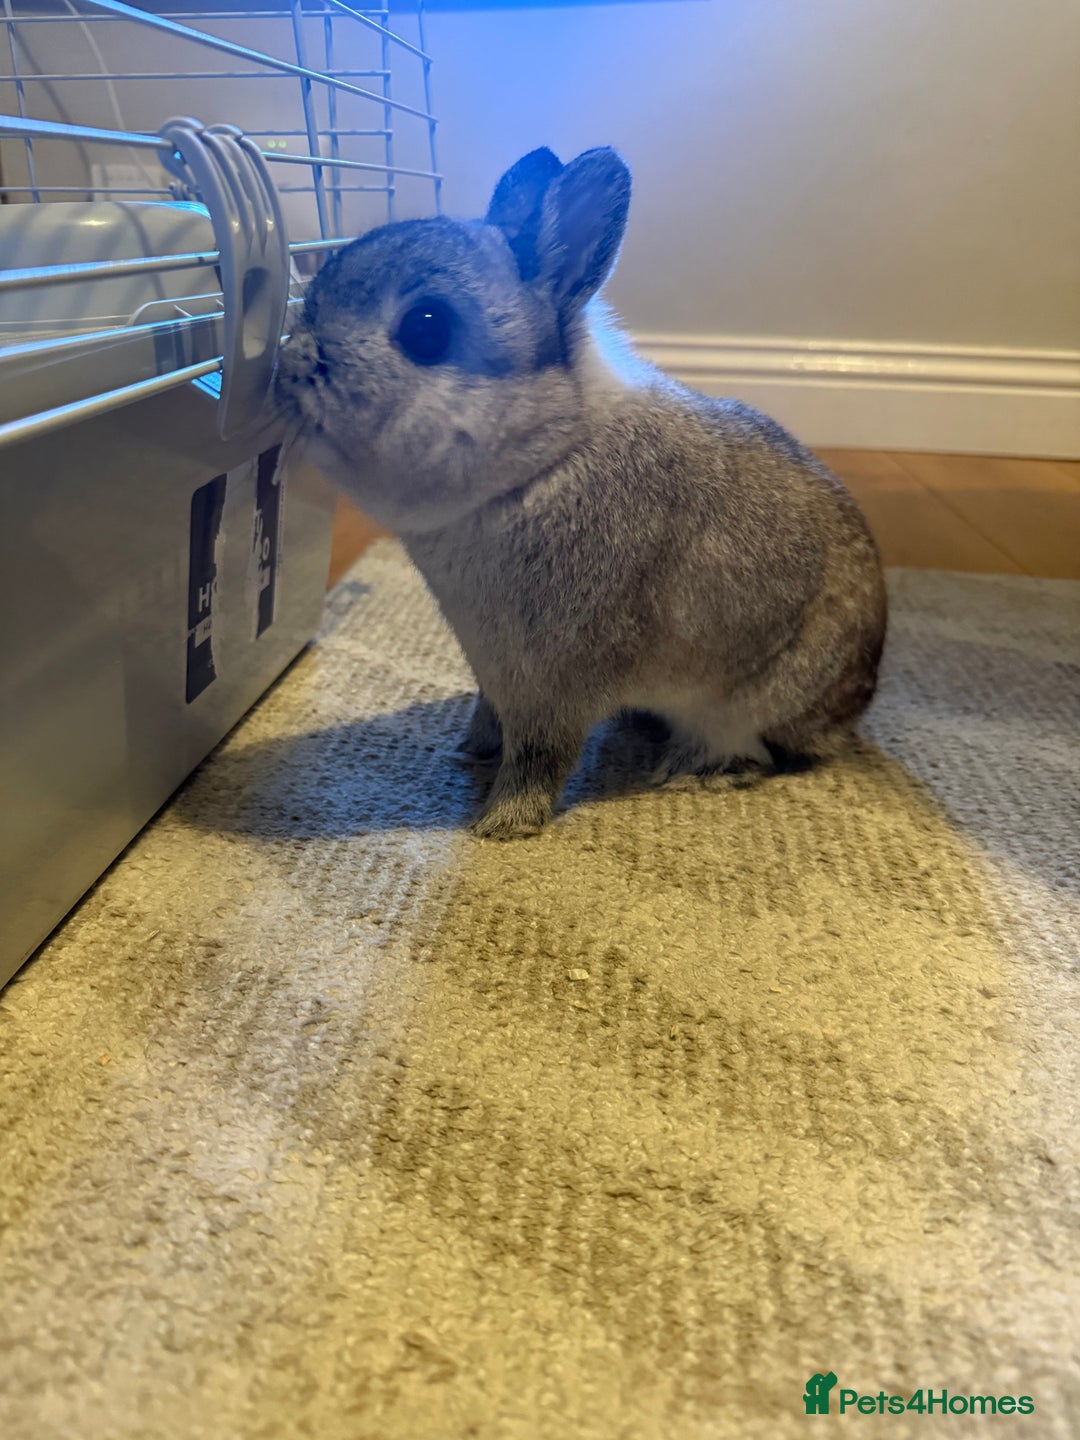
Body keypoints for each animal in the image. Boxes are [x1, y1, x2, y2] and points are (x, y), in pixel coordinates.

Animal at [274, 146, 888, 840]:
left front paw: (502, 825)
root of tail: (849, 710)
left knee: (758, 751)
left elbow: (542, 758)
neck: (539, 460)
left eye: (426, 328)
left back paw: (695, 772)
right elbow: (492, 718)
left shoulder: (554, 684)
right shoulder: (495, 673)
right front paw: (468, 751)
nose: (290, 365)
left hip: (747, 703)